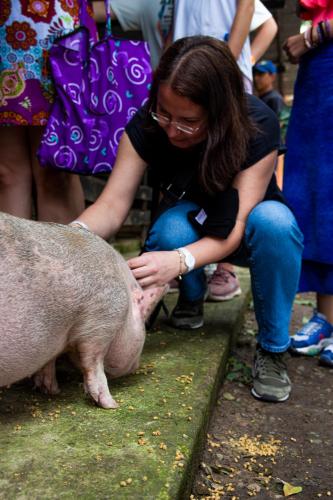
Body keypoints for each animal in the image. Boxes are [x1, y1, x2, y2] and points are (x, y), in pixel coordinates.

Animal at [0, 213, 165, 408]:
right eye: (143, 319)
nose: (137, 364)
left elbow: (48, 361)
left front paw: (51, 390)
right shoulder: (102, 319)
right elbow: (93, 361)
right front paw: (111, 404)